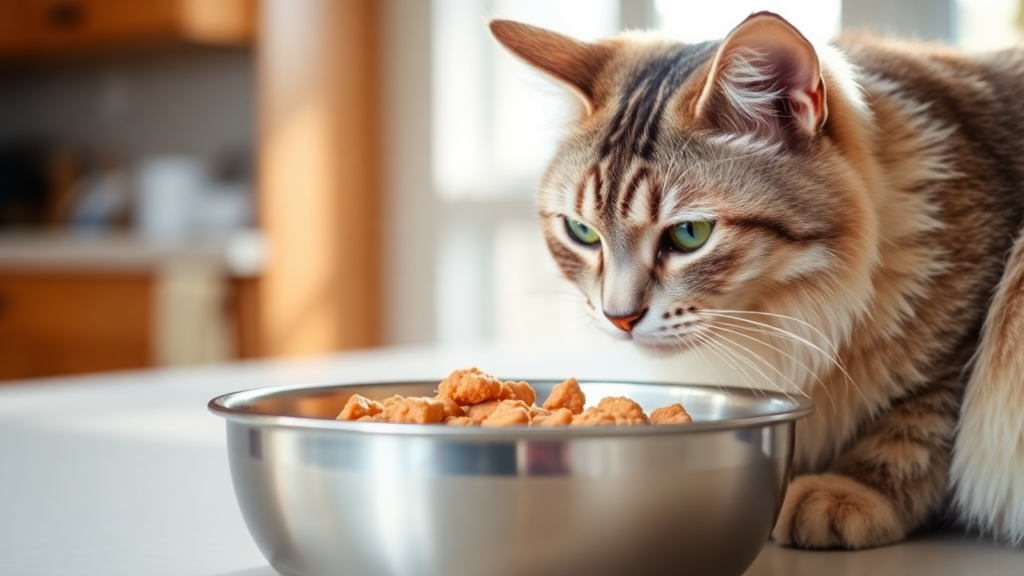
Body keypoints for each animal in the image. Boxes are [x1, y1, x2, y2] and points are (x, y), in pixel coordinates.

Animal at [487, 10, 1024, 545]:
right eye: (582, 232)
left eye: (689, 234)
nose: (620, 318)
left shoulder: (962, 336)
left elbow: (914, 426)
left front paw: (851, 490)